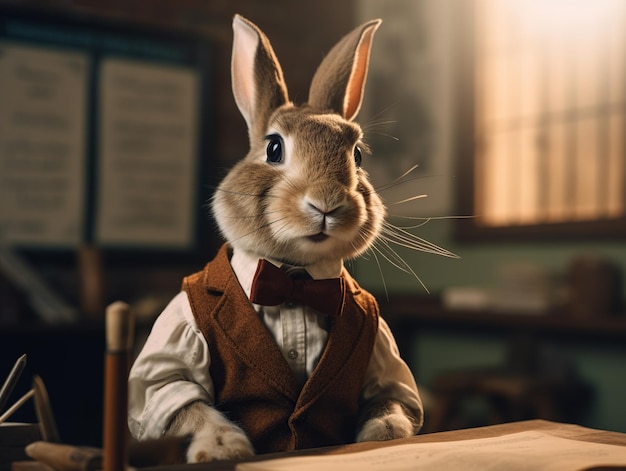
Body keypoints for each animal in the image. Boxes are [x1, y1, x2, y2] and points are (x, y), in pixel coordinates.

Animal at [125, 14, 424, 464]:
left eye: (357, 156)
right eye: (274, 148)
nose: (327, 203)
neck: (293, 279)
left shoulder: (382, 355)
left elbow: (391, 398)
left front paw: (384, 435)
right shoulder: (171, 364)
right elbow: (184, 402)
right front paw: (223, 449)